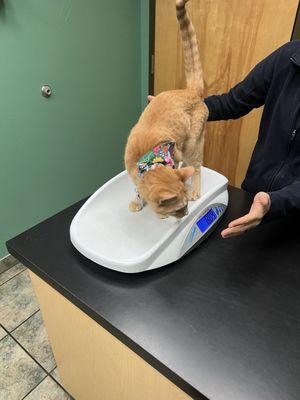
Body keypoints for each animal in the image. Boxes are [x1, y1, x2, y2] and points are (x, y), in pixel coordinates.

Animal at [125, 0, 207, 219]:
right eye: (178, 209)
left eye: (185, 206)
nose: (186, 214)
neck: (149, 159)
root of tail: (190, 90)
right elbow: (137, 189)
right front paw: (137, 200)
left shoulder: (175, 153)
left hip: (192, 144)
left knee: (196, 166)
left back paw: (196, 187)